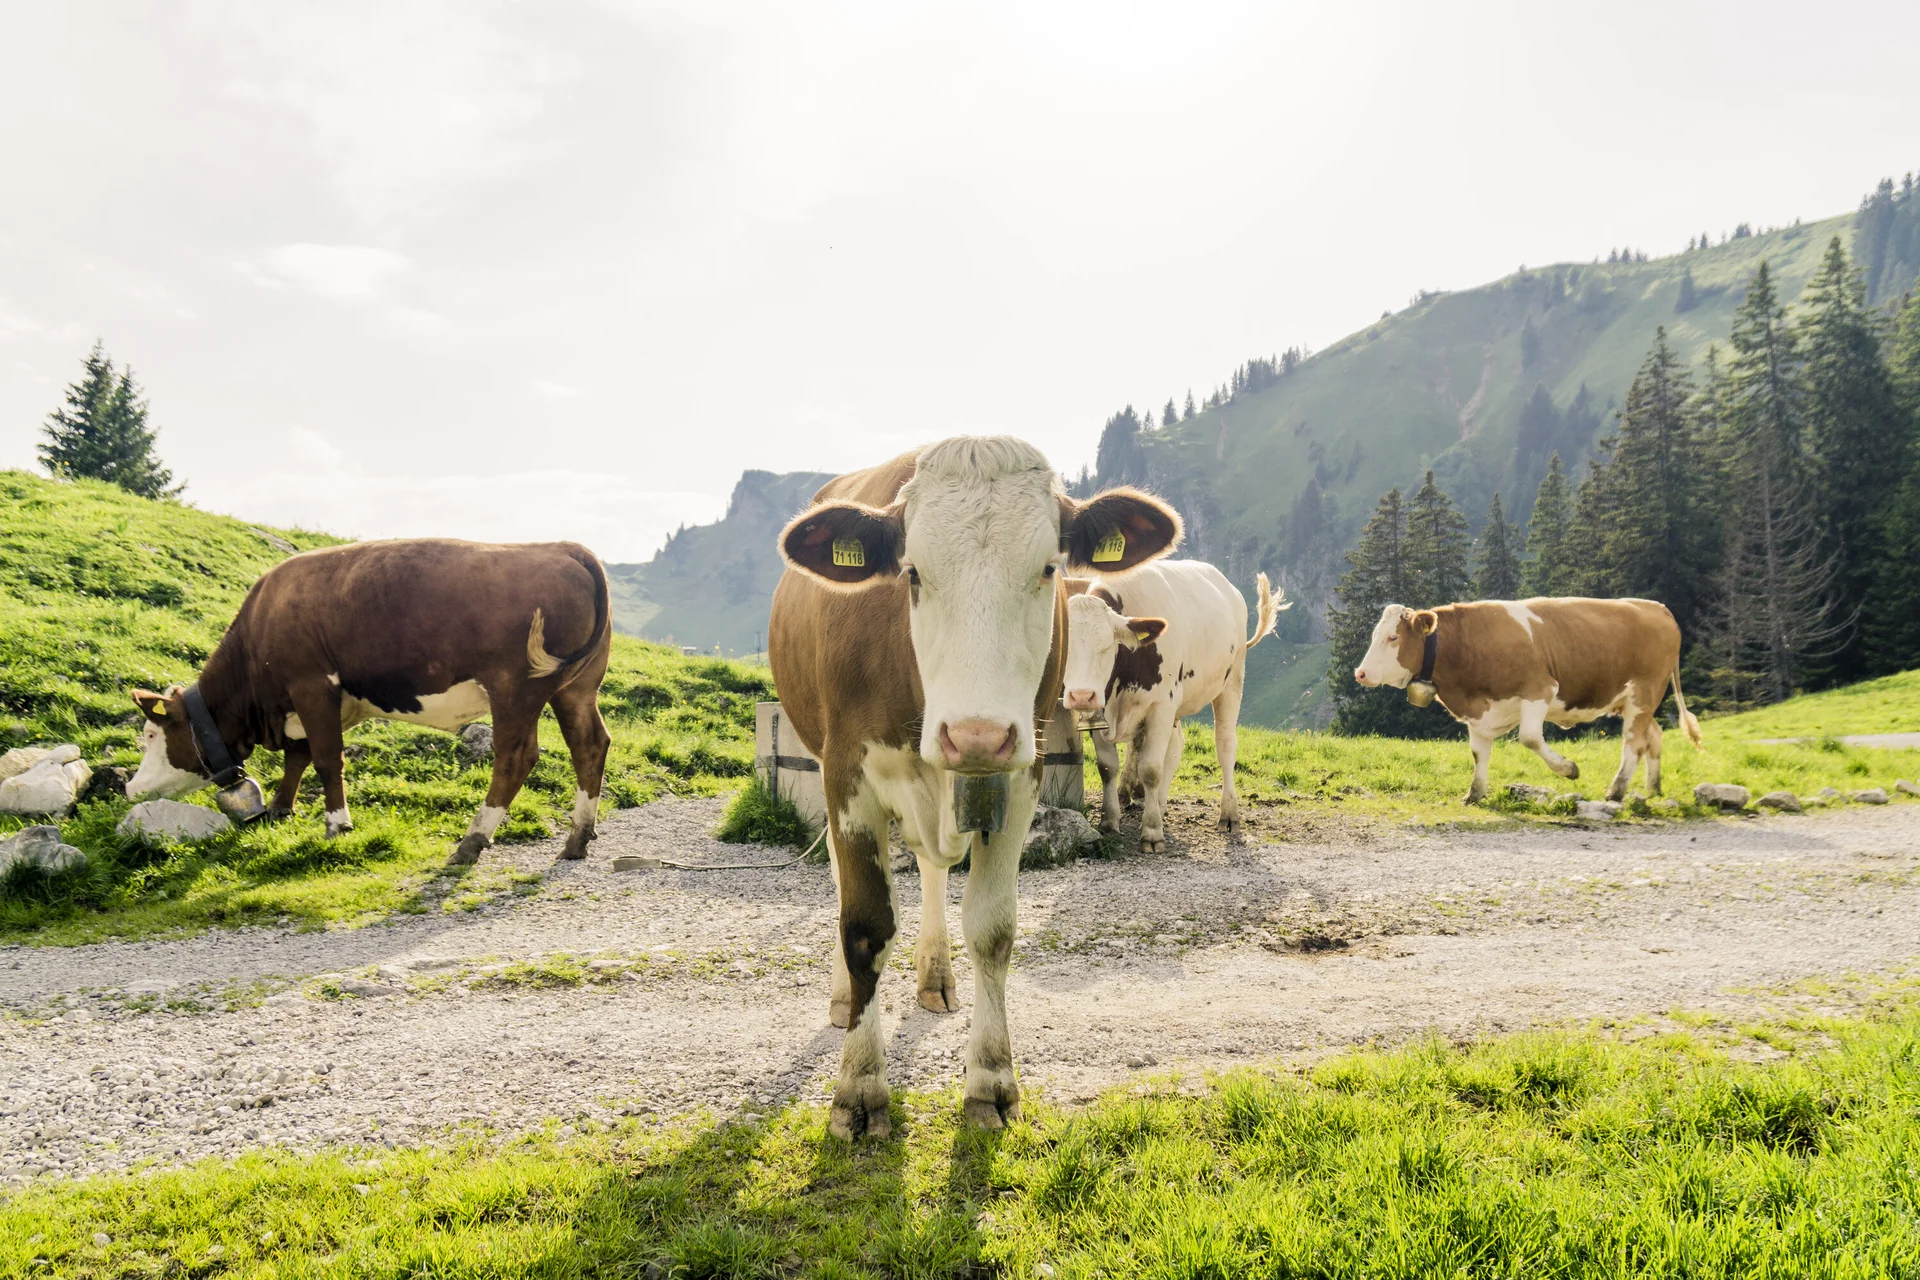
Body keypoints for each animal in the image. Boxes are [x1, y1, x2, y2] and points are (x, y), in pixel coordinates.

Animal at [128, 538, 612, 865]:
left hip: (516, 688)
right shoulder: (314, 702)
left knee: (515, 757)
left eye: (150, 734)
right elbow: (298, 756)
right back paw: (577, 838)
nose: (130, 788)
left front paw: (336, 824)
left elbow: (326, 759)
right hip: (576, 688)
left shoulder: (311, 685)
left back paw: (471, 842)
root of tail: (562, 547)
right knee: (589, 744)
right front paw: (281, 809)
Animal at [770, 437, 1181, 1139]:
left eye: (1048, 569)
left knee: (933, 870)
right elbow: (864, 926)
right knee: (843, 884)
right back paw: (841, 996)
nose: (977, 735)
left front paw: (990, 1080)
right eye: (910, 573)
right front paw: (859, 1086)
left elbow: (992, 929)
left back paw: (935, 974)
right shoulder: (846, 774)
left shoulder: (1020, 775)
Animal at [1060, 563, 1284, 851]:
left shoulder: (1161, 706)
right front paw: (1109, 822)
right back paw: (1160, 804)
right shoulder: (1101, 711)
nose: (1081, 695)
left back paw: (1229, 814)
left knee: (1224, 747)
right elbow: (1108, 767)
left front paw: (1152, 832)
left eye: (1107, 646)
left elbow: (1150, 769)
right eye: (1063, 645)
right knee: (1176, 747)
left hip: (1231, 682)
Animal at [1352, 597, 1702, 804]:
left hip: (1645, 692)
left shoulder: (1540, 689)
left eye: (1393, 637)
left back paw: (1616, 791)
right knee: (1653, 736)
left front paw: (1569, 769)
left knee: (1633, 743)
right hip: (1635, 701)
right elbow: (1479, 754)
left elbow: (1530, 738)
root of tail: (1656, 606)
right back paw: (1653, 788)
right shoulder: (1479, 711)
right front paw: (1474, 794)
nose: (1361, 673)